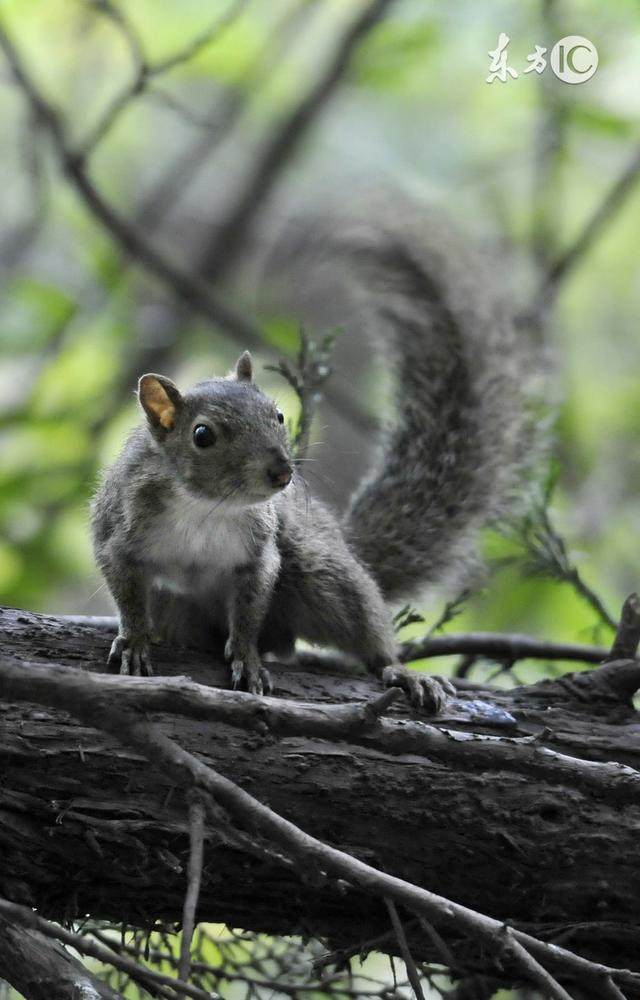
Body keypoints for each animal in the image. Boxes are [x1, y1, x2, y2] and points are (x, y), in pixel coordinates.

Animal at [91, 195, 540, 712]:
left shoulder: (260, 552)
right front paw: (135, 639)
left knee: (360, 624)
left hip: (320, 572)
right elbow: (124, 586)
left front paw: (246, 657)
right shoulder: (122, 529)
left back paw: (398, 670)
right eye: (202, 436)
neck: (205, 507)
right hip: (180, 607)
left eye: (279, 414)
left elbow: (249, 610)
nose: (281, 473)